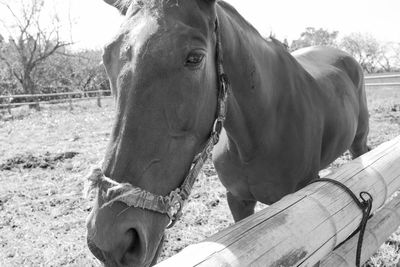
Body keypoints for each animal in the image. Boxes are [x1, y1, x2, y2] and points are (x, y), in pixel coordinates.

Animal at [85, 1, 368, 266]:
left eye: (195, 58)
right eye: (106, 57)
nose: (110, 241)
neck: (257, 137)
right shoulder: (238, 199)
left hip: (359, 143)